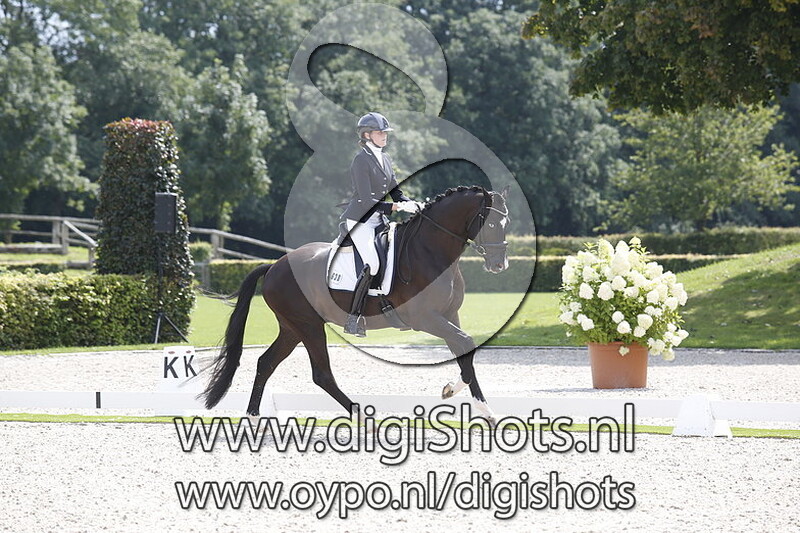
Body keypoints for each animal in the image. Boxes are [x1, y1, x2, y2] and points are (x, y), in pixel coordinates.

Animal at [200, 185, 511, 424]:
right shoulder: (425, 318)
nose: (500, 265)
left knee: (266, 363)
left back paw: (253, 418)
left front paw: (471, 403)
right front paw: (465, 399)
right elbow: (466, 343)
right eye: (490, 224)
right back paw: (362, 416)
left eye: (505, 225)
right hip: (308, 326)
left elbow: (464, 349)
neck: (429, 251)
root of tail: (275, 265)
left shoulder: (449, 315)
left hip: (292, 328)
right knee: (321, 375)